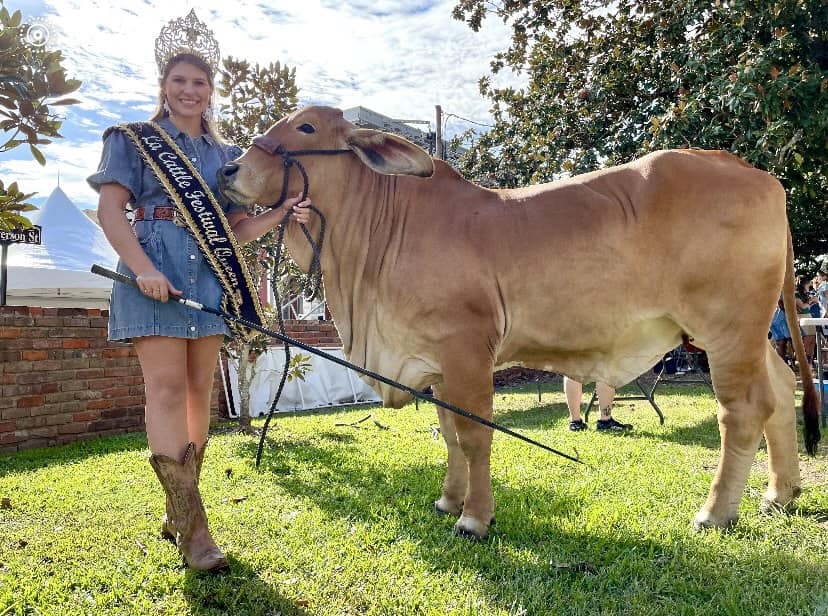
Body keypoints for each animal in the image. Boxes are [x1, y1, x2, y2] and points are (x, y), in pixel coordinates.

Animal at [218, 106, 820, 540]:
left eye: (306, 125)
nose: (227, 170)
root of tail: (754, 172)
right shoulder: (437, 366)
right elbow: (449, 436)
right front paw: (448, 500)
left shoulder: (466, 351)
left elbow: (474, 435)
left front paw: (474, 519)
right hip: (747, 333)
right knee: (780, 390)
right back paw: (779, 494)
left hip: (726, 327)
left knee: (742, 411)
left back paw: (716, 512)